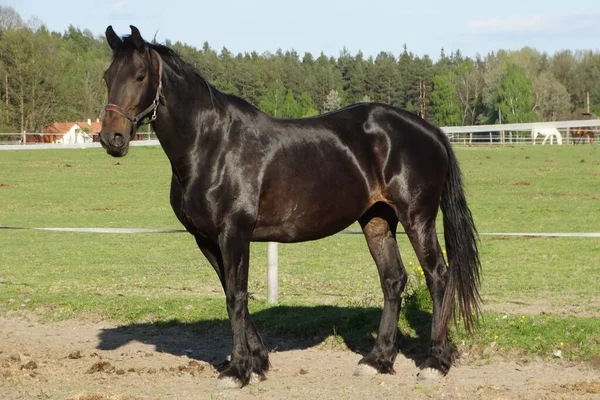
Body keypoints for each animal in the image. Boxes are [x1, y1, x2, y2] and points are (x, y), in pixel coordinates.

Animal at [101, 26, 480, 390]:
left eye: (139, 75)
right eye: (107, 76)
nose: (111, 138)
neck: (210, 144)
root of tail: (431, 130)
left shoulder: (234, 233)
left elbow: (236, 296)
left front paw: (238, 371)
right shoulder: (206, 239)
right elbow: (231, 293)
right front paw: (257, 362)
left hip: (417, 218)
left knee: (438, 277)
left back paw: (435, 363)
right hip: (377, 220)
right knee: (393, 280)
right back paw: (378, 360)